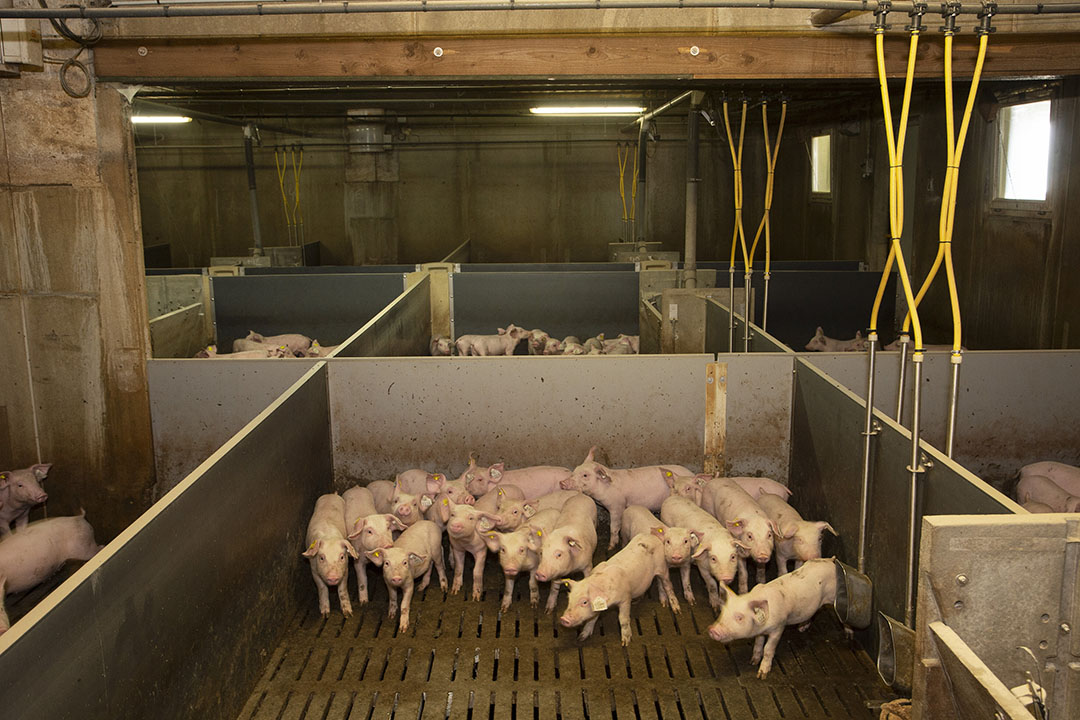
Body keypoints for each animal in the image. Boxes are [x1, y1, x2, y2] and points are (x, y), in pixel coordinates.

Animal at [704, 557, 838, 682]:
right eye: (722, 612)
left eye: (740, 617)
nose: (712, 629)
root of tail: (831, 561)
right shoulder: (760, 631)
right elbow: (758, 643)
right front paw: (752, 662)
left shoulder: (779, 627)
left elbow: (768, 648)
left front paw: (761, 675)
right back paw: (801, 629)